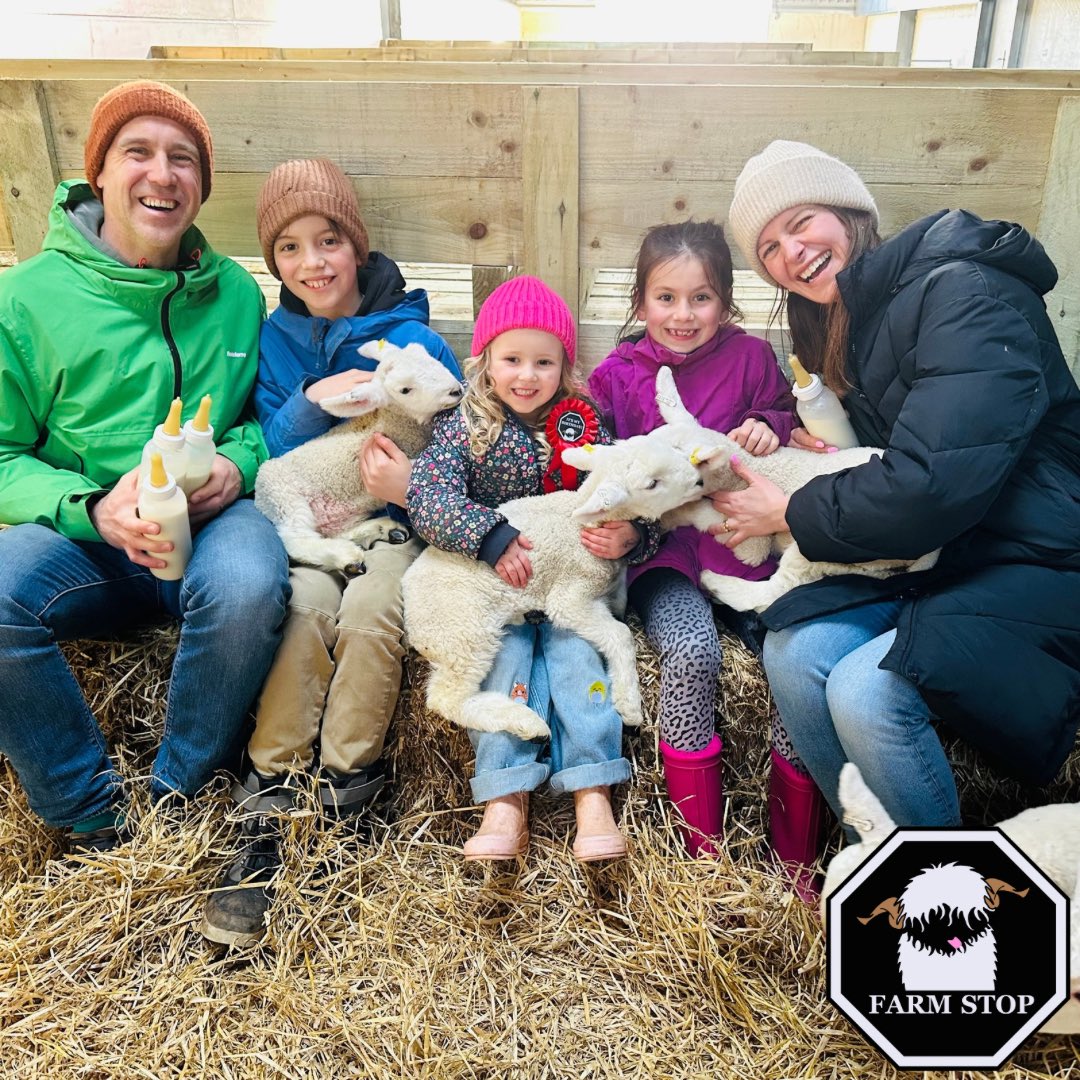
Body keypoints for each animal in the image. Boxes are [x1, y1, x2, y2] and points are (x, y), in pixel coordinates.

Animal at [254, 339, 462, 574]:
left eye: (428, 356)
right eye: (405, 390)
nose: (456, 390)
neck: (398, 426)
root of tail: (259, 500)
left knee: (332, 533)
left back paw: (384, 530)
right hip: (281, 495)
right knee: (297, 539)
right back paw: (347, 556)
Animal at [401, 434, 721, 738]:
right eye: (652, 484)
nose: (698, 480)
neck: (581, 522)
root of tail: (408, 594)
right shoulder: (569, 598)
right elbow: (619, 633)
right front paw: (629, 704)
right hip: (462, 634)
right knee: (446, 698)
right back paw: (525, 722)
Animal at [643, 365, 941, 613]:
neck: (754, 466)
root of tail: (936, 547)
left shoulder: (748, 535)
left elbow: (709, 521)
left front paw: (670, 518)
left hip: (818, 544)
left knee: (776, 590)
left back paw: (716, 583)